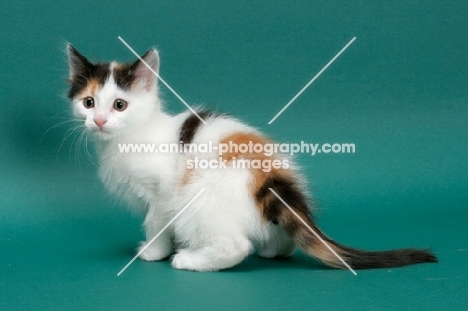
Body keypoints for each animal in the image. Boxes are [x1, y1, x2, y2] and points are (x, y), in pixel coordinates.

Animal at [64, 44, 436, 272]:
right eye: (88, 103)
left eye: (120, 105)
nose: (99, 121)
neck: (129, 138)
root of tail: (274, 180)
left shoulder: (161, 192)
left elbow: (156, 223)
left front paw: (154, 252)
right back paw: (273, 249)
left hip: (196, 197)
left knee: (236, 245)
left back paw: (191, 259)